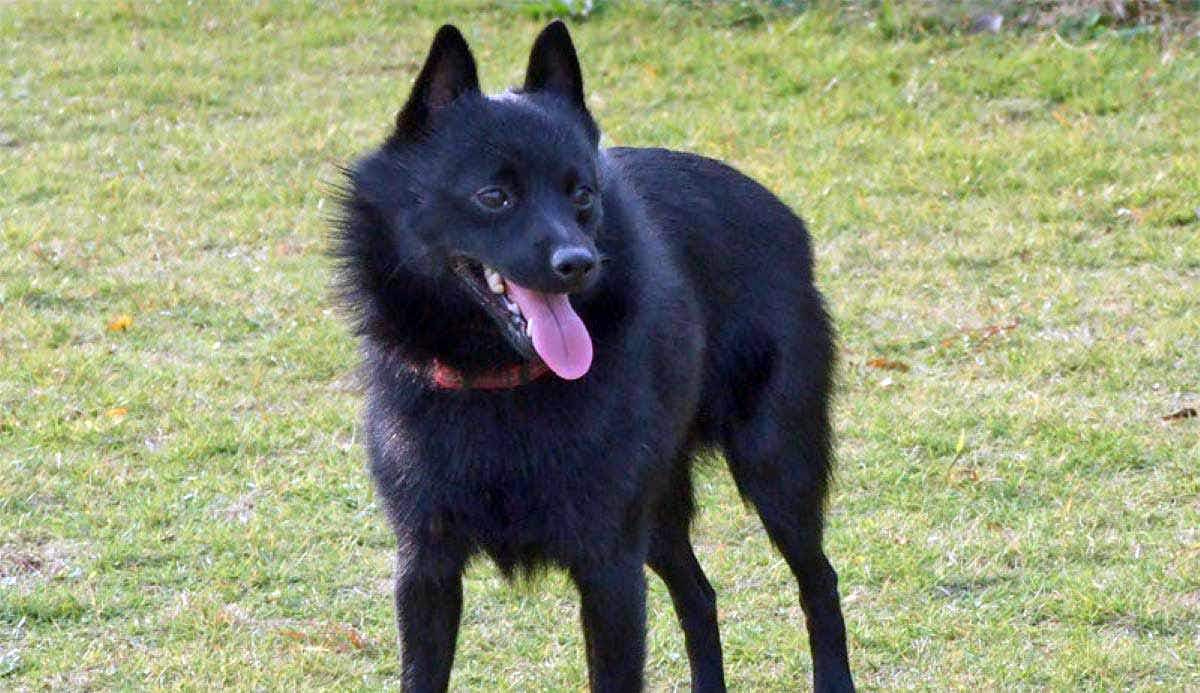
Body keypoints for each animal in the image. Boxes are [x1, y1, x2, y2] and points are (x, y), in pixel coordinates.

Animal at [328, 18, 854, 685]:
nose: (578, 264)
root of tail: (787, 217)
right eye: (494, 196)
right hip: (660, 512)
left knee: (820, 584)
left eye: (581, 193)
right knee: (699, 597)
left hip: (776, 469)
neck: (498, 380)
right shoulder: (426, 568)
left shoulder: (609, 570)